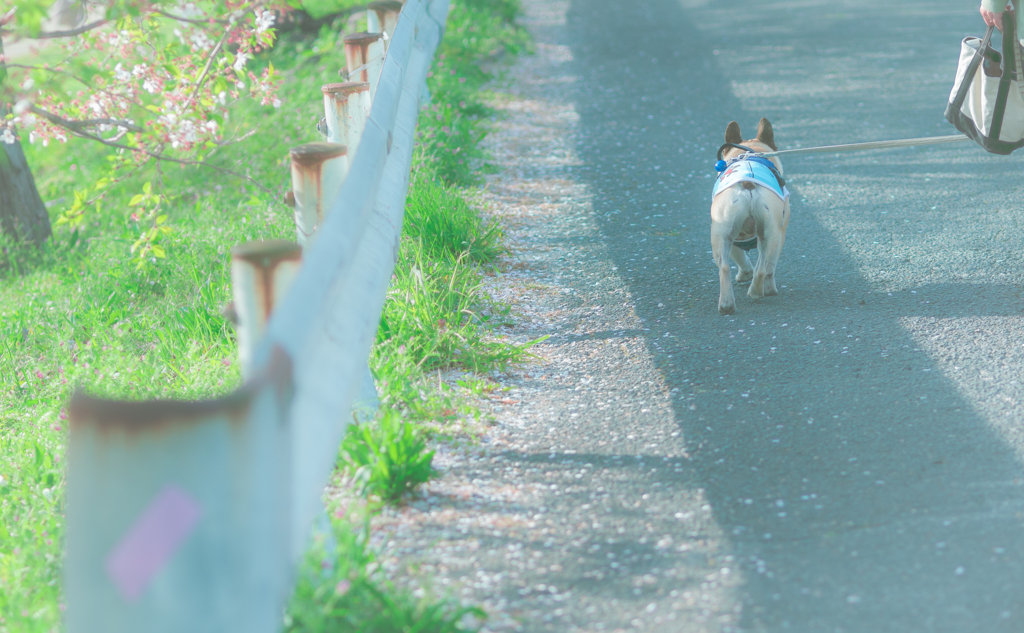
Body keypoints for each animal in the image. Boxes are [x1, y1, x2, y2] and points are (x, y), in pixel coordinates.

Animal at [712, 117, 790, 313]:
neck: (750, 152)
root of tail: (748, 185)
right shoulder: (781, 233)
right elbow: (769, 266)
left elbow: (740, 257)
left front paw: (745, 275)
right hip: (770, 234)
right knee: (763, 267)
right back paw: (758, 292)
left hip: (722, 233)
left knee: (725, 267)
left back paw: (727, 304)